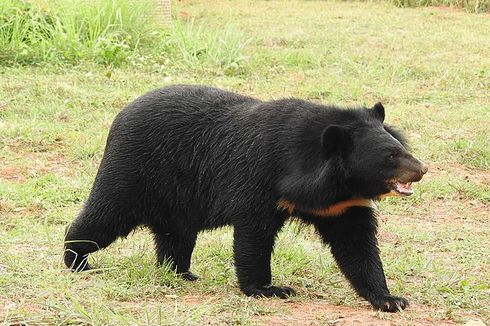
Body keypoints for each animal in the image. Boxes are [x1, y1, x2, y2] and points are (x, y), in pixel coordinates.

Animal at [64, 85, 424, 312]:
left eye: (401, 148)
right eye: (391, 156)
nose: (422, 169)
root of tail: (122, 112)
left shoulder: (341, 206)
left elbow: (356, 245)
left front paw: (390, 299)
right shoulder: (260, 180)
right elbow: (254, 236)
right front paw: (269, 289)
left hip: (176, 197)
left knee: (176, 234)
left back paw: (181, 272)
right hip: (133, 171)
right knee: (105, 216)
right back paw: (77, 260)